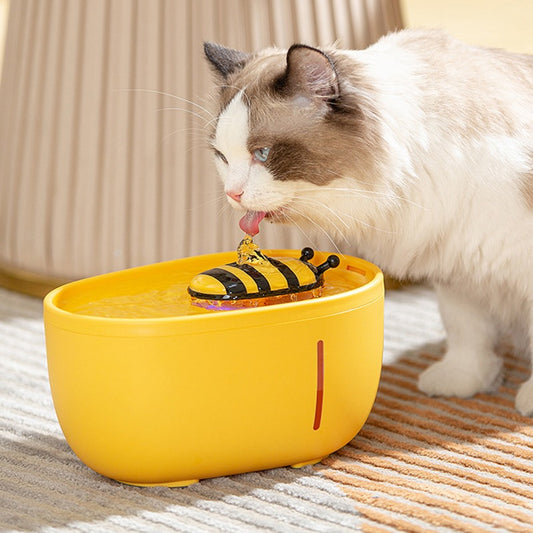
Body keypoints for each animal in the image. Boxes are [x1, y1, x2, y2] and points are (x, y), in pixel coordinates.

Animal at [202, 27, 532, 414]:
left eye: (263, 153)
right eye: (222, 157)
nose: (232, 194)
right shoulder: (457, 264)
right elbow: (467, 332)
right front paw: (462, 382)